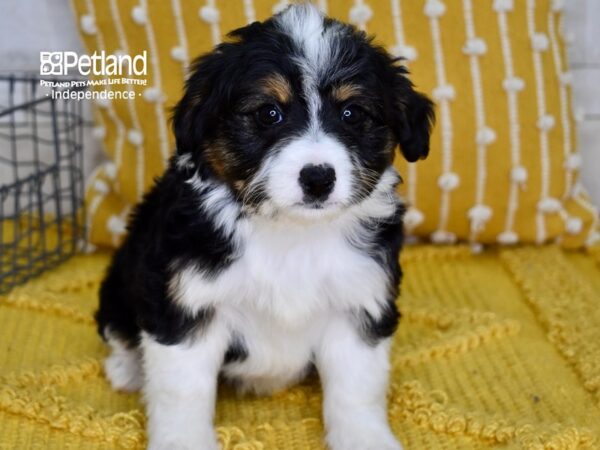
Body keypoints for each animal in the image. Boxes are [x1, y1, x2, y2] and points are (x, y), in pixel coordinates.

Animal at [99, 4, 436, 450]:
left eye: (351, 113)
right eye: (268, 113)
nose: (317, 178)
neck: (290, 233)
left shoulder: (359, 301)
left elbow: (357, 389)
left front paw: (366, 439)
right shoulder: (186, 305)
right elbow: (181, 391)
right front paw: (183, 440)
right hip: (122, 279)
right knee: (118, 329)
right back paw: (128, 368)